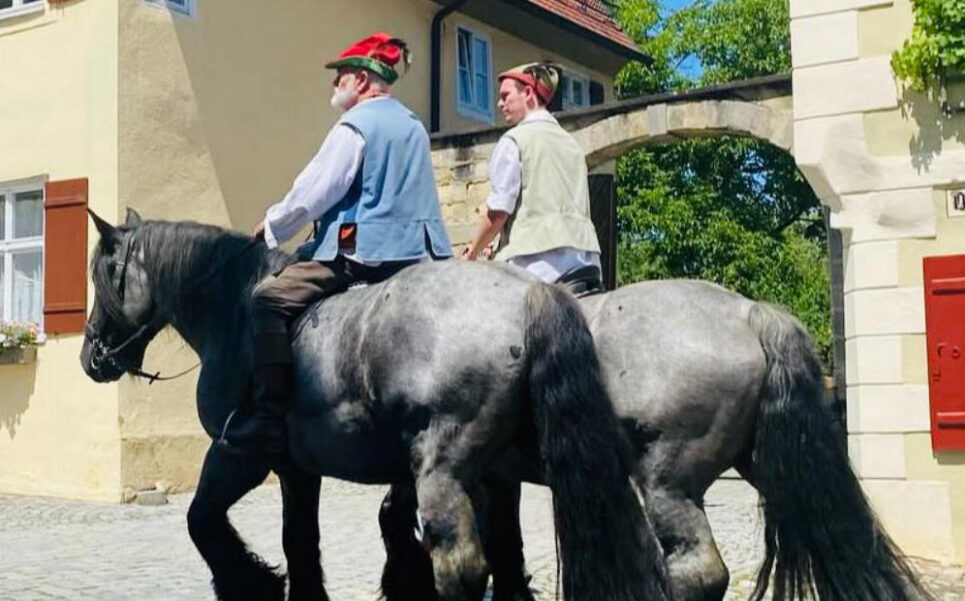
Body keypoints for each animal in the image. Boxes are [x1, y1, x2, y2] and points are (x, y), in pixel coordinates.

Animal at [78, 209, 672, 601]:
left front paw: (251, 583)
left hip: (446, 469)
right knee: (509, 555)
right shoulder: (296, 468)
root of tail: (530, 294)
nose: (92, 358)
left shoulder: (238, 455)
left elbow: (201, 520)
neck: (235, 310)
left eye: (104, 274)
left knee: (463, 565)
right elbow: (301, 541)